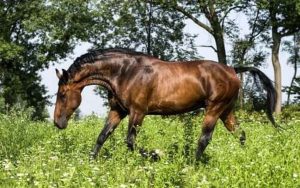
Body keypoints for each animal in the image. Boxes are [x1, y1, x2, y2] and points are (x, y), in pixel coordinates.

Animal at [53, 48, 276, 160]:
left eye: (62, 94)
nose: (57, 123)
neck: (125, 72)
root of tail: (232, 70)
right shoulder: (118, 111)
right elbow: (102, 137)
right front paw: (91, 162)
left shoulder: (138, 112)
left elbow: (130, 142)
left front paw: (156, 155)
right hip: (226, 111)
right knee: (241, 134)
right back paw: (247, 158)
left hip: (214, 109)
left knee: (204, 140)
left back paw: (192, 165)